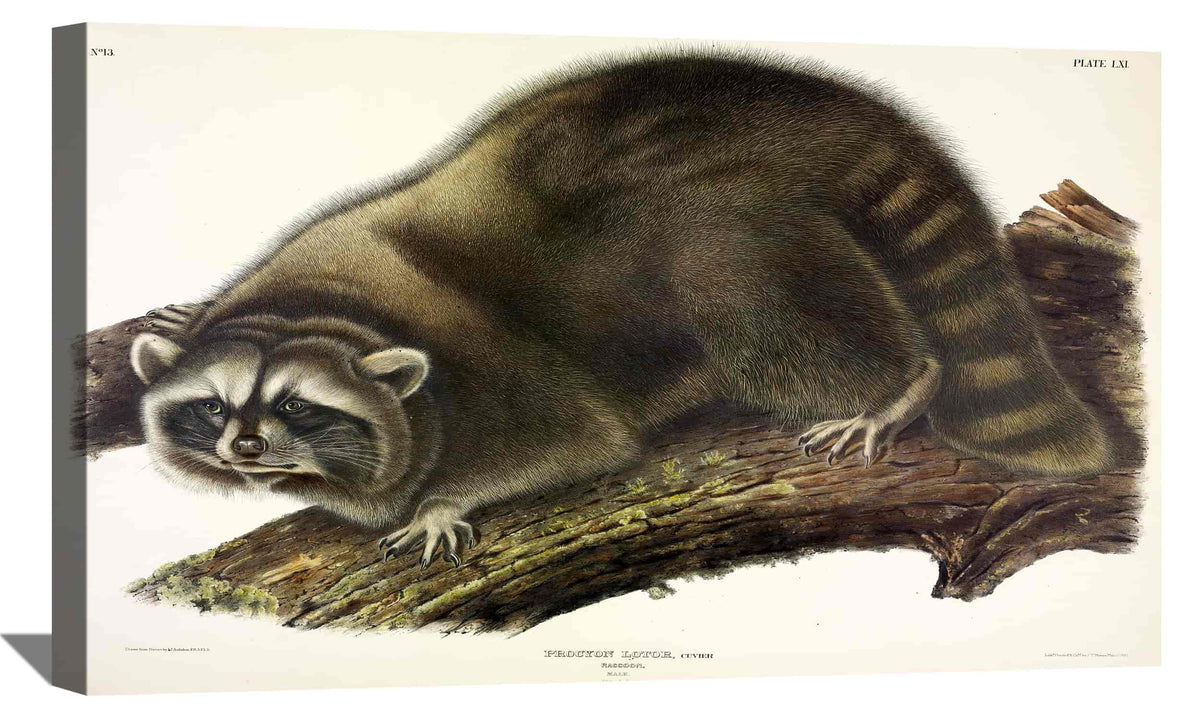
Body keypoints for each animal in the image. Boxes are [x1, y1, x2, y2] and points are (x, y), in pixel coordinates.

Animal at [130, 52, 1111, 569]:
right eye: (213, 406)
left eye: (298, 405)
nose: (244, 447)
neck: (323, 311)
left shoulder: (493, 368)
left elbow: (579, 441)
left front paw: (442, 501)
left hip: (732, 234)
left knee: (768, 318)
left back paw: (900, 385)